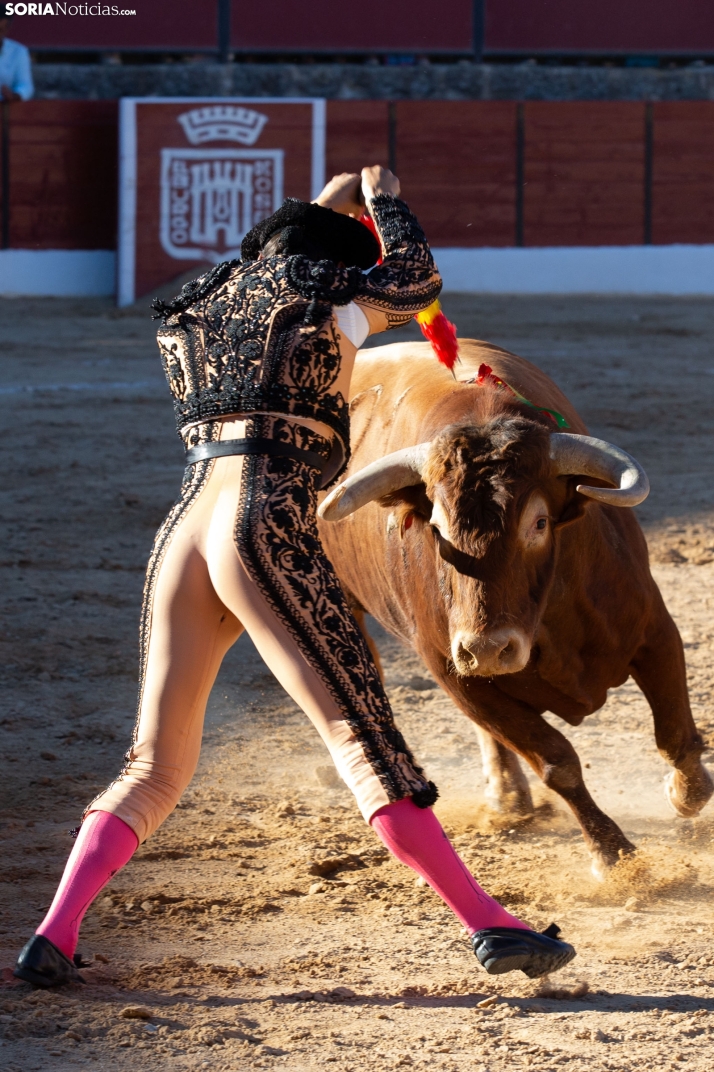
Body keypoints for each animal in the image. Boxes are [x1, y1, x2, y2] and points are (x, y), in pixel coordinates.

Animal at [317, 338, 711, 874]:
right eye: (435, 527)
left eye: (539, 523)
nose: (487, 649)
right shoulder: (457, 676)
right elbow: (556, 761)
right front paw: (614, 855)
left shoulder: (654, 630)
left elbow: (674, 732)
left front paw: (686, 793)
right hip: (352, 611)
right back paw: (508, 799)